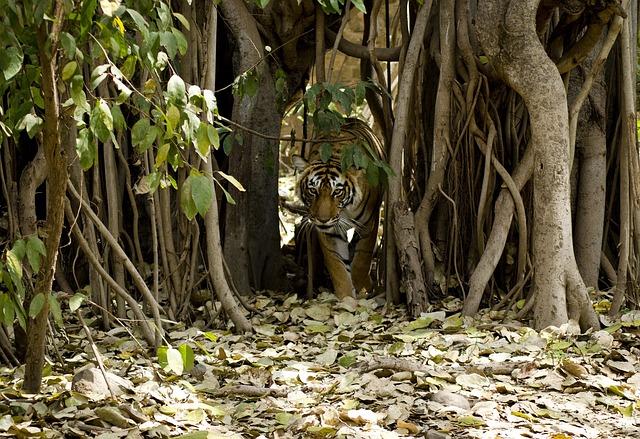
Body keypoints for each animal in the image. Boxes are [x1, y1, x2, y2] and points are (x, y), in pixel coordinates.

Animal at [292, 118, 385, 299]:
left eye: (337, 192)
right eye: (313, 190)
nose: (323, 219)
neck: (345, 212)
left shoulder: (370, 223)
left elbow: (362, 258)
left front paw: (362, 289)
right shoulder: (329, 233)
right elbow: (337, 265)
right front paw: (346, 298)